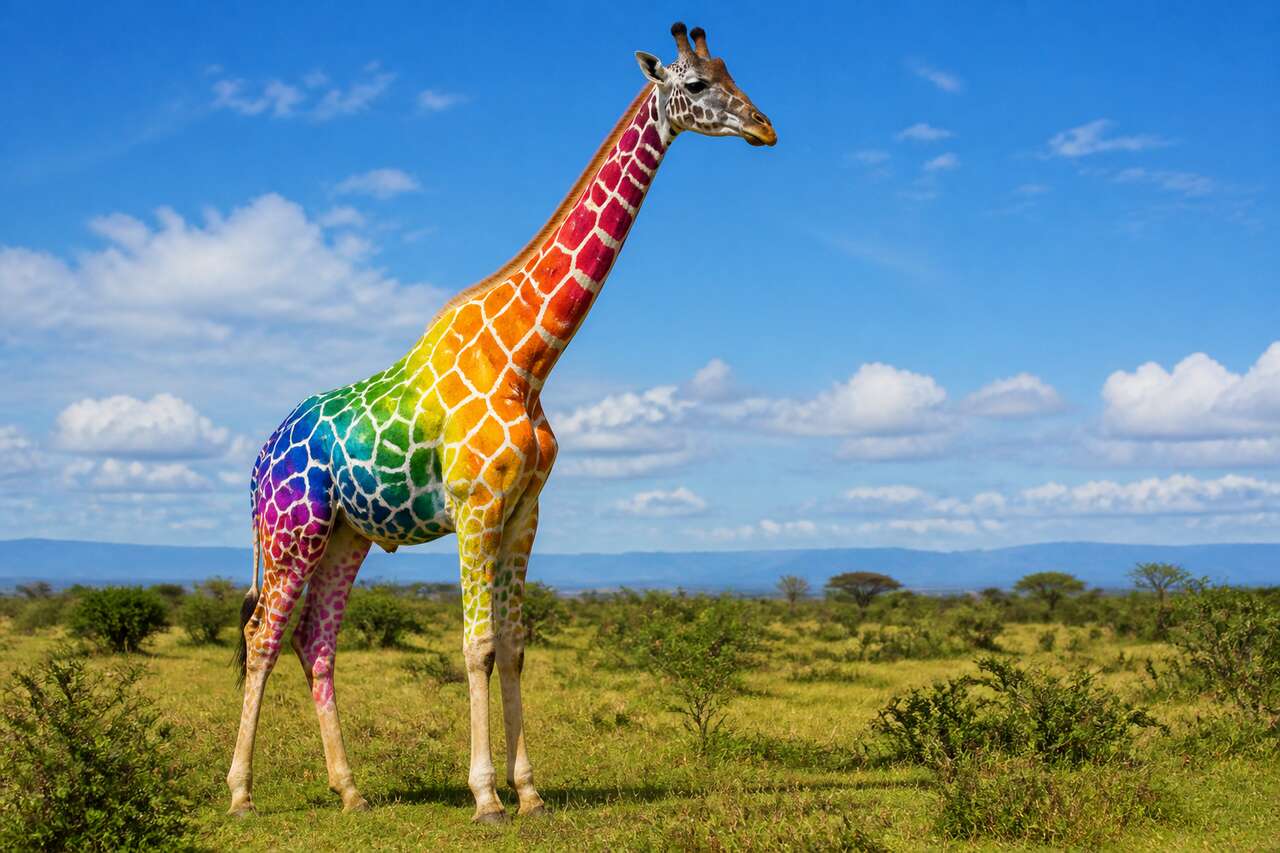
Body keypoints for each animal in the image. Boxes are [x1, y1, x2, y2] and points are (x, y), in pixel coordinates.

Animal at [226, 21, 776, 823]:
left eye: (734, 73)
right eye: (697, 84)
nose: (764, 127)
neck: (527, 358)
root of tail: (257, 461)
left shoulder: (525, 512)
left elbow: (515, 644)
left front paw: (530, 790)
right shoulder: (476, 506)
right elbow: (478, 646)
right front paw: (486, 795)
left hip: (347, 537)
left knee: (315, 641)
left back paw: (350, 788)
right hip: (290, 531)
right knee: (262, 635)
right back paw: (239, 791)